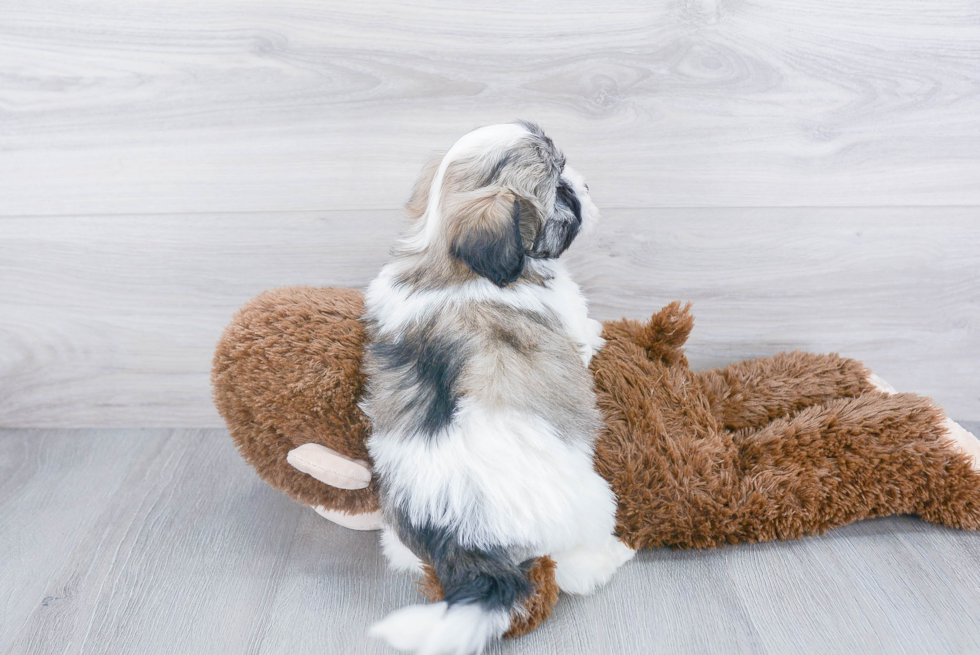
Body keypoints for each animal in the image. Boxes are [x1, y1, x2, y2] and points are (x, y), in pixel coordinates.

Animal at [362, 123, 636, 655]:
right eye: (561, 191)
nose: (586, 184)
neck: (447, 259)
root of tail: (468, 537)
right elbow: (582, 329)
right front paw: (597, 335)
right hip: (590, 501)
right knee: (573, 568)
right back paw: (612, 555)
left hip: (399, 532)